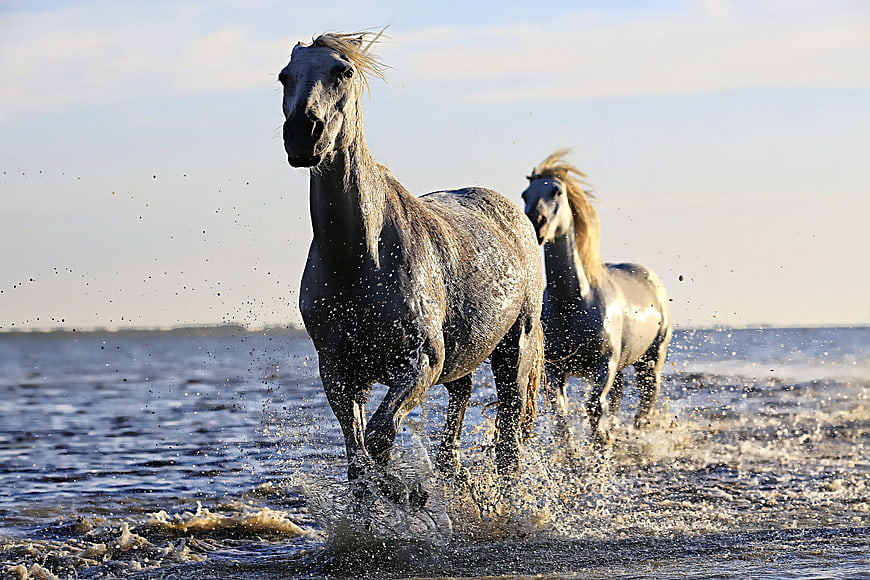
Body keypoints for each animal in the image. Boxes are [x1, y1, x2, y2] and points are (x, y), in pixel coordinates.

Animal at [279, 31, 545, 490]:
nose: (302, 134)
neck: (359, 259)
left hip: (515, 349)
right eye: (284, 76)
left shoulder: (420, 363)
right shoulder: (340, 373)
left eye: (343, 71)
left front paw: (404, 494)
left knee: (509, 443)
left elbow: (380, 437)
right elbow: (359, 458)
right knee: (459, 410)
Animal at [521, 150, 672, 448]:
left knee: (646, 399)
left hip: (651, 359)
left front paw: (601, 442)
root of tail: (651, 278)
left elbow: (593, 407)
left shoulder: (605, 364)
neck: (573, 304)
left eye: (556, 191)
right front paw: (572, 452)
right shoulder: (556, 369)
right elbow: (560, 414)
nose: (536, 222)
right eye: (525, 194)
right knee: (618, 395)